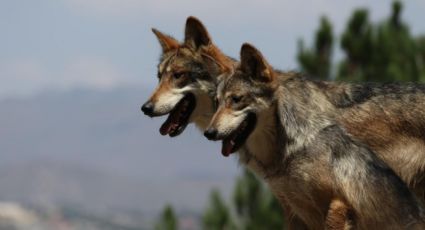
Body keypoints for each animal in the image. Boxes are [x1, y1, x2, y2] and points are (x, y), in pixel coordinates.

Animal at [204, 43, 422, 230]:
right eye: (216, 102)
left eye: (236, 99)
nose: (208, 133)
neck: (288, 151)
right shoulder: (293, 212)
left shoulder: (336, 204)